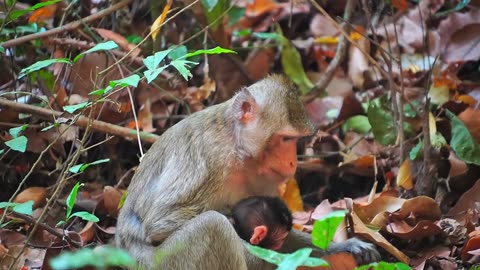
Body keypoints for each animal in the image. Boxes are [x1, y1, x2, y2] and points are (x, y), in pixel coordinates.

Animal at [116, 75, 378, 268]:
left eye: (295, 140)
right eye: (286, 139)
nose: (292, 162)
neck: (236, 148)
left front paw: (342, 247)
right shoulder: (210, 159)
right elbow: (159, 224)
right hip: (164, 263)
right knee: (213, 225)